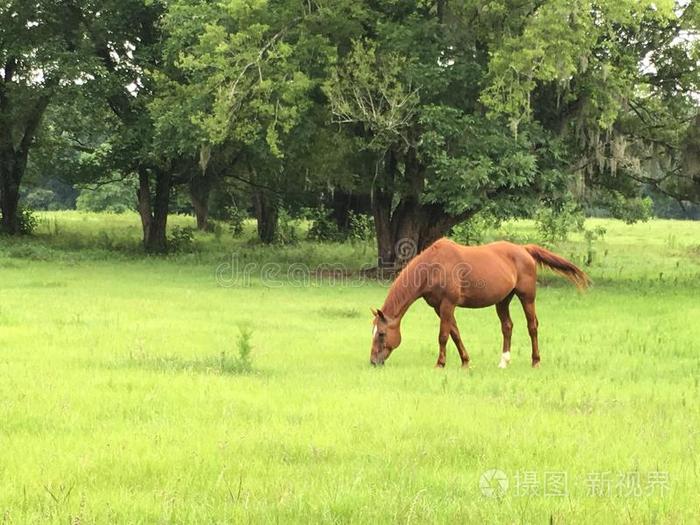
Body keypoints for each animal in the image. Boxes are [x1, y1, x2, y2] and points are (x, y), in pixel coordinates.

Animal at [370, 238, 588, 366]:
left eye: (381, 334)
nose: (373, 361)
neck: (433, 267)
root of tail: (524, 249)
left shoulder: (448, 304)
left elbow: (443, 335)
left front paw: (440, 363)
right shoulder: (439, 307)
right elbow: (455, 333)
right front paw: (465, 361)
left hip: (527, 297)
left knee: (532, 326)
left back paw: (535, 361)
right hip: (503, 300)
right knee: (507, 326)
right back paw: (504, 361)